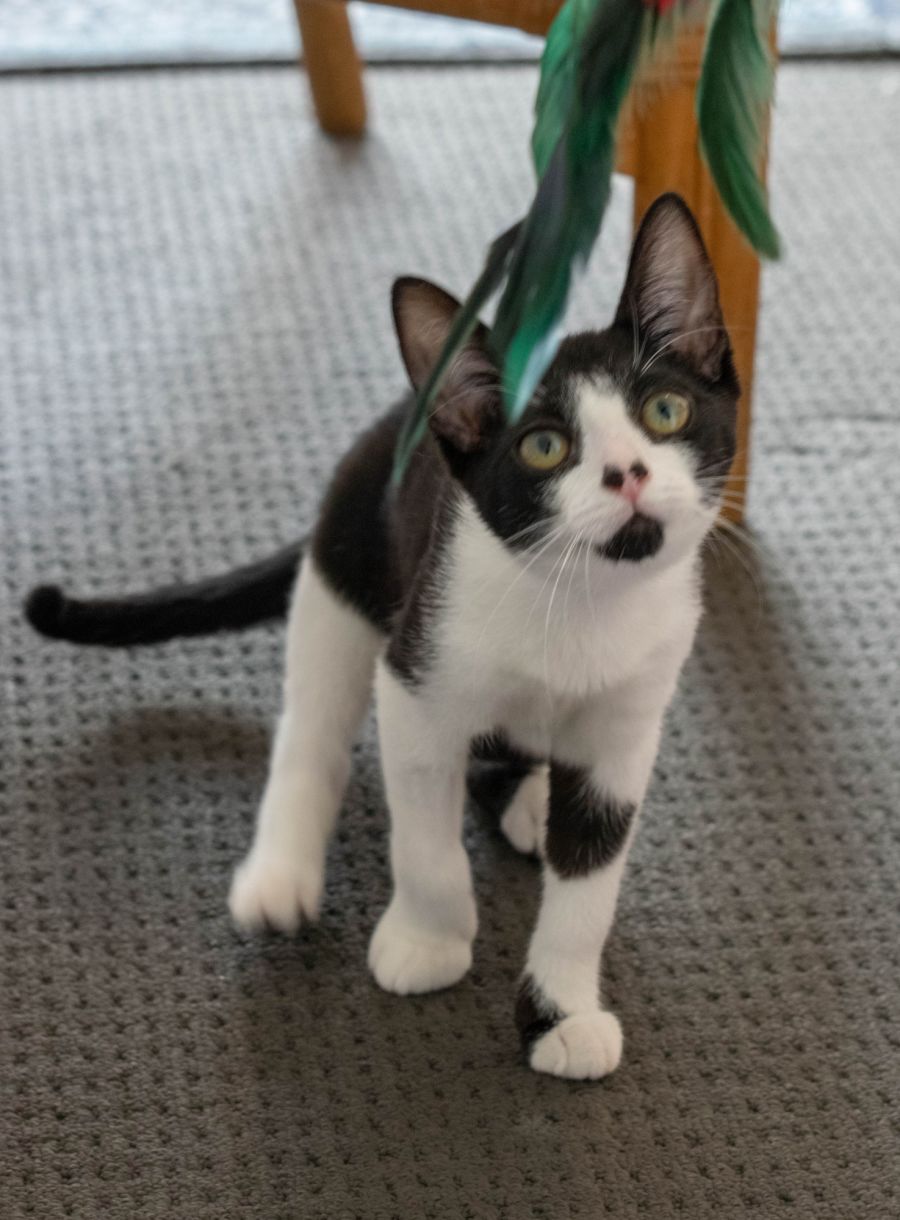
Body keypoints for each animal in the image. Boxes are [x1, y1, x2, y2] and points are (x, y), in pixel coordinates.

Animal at [26, 193, 738, 1079]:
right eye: (544, 447)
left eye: (665, 411)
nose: (627, 474)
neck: (576, 607)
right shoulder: (416, 677)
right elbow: (425, 843)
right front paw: (428, 942)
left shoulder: (627, 729)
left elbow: (589, 885)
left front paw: (562, 1013)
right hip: (343, 572)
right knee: (312, 732)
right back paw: (282, 871)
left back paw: (533, 797)